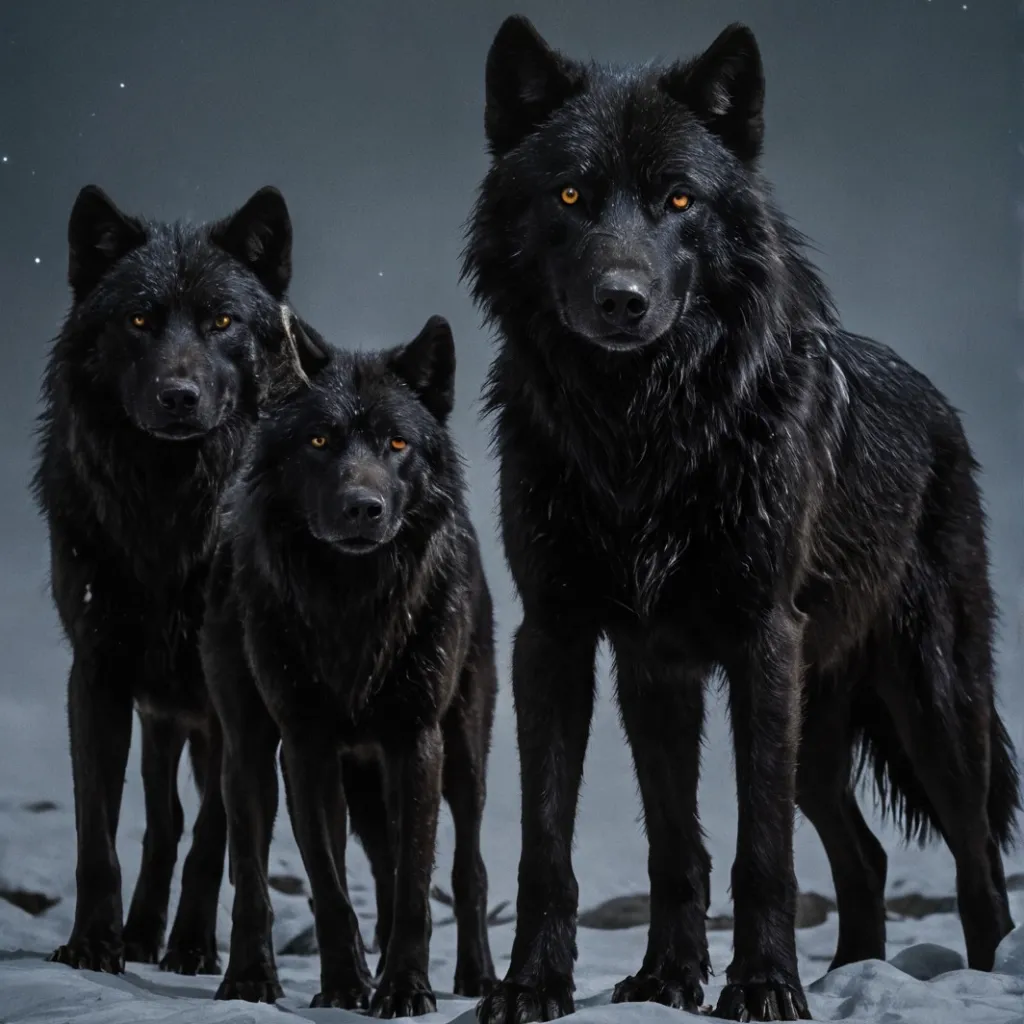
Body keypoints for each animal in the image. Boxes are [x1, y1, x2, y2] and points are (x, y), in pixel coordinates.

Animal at [33, 183, 294, 975]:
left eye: (222, 322)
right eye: (140, 319)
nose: (179, 394)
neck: (170, 513)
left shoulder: (230, 700)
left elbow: (216, 836)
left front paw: (194, 946)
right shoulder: (96, 675)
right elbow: (98, 832)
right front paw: (95, 943)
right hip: (160, 718)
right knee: (161, 819)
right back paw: (141, 931)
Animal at [202, 312, 497, 1015]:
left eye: (396, 443)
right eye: (319, 439)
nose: (363, 507)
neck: (352, 605)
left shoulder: (415, 741)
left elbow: (416, 887)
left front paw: (405, 989)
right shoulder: (304, 746)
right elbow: (328, 884)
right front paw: (344, 986)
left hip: (462, 754)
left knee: (466, 868)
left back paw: (476, 978)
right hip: (254, 753)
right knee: (253, 870)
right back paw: (250, 977)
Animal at [464, 15, 1019, 1023]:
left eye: (679, 198)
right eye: (571, 193)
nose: (622, 300)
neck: (641, 435)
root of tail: (940, 408)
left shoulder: (761, 640)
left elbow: (759, 852)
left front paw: (760, 988)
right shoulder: (585, 645)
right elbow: (593, 845)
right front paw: (582, 985)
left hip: (932, 704)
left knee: (978, 861)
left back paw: (975, 978)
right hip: (815, 733)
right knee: (865, 856)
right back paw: (850, 979)